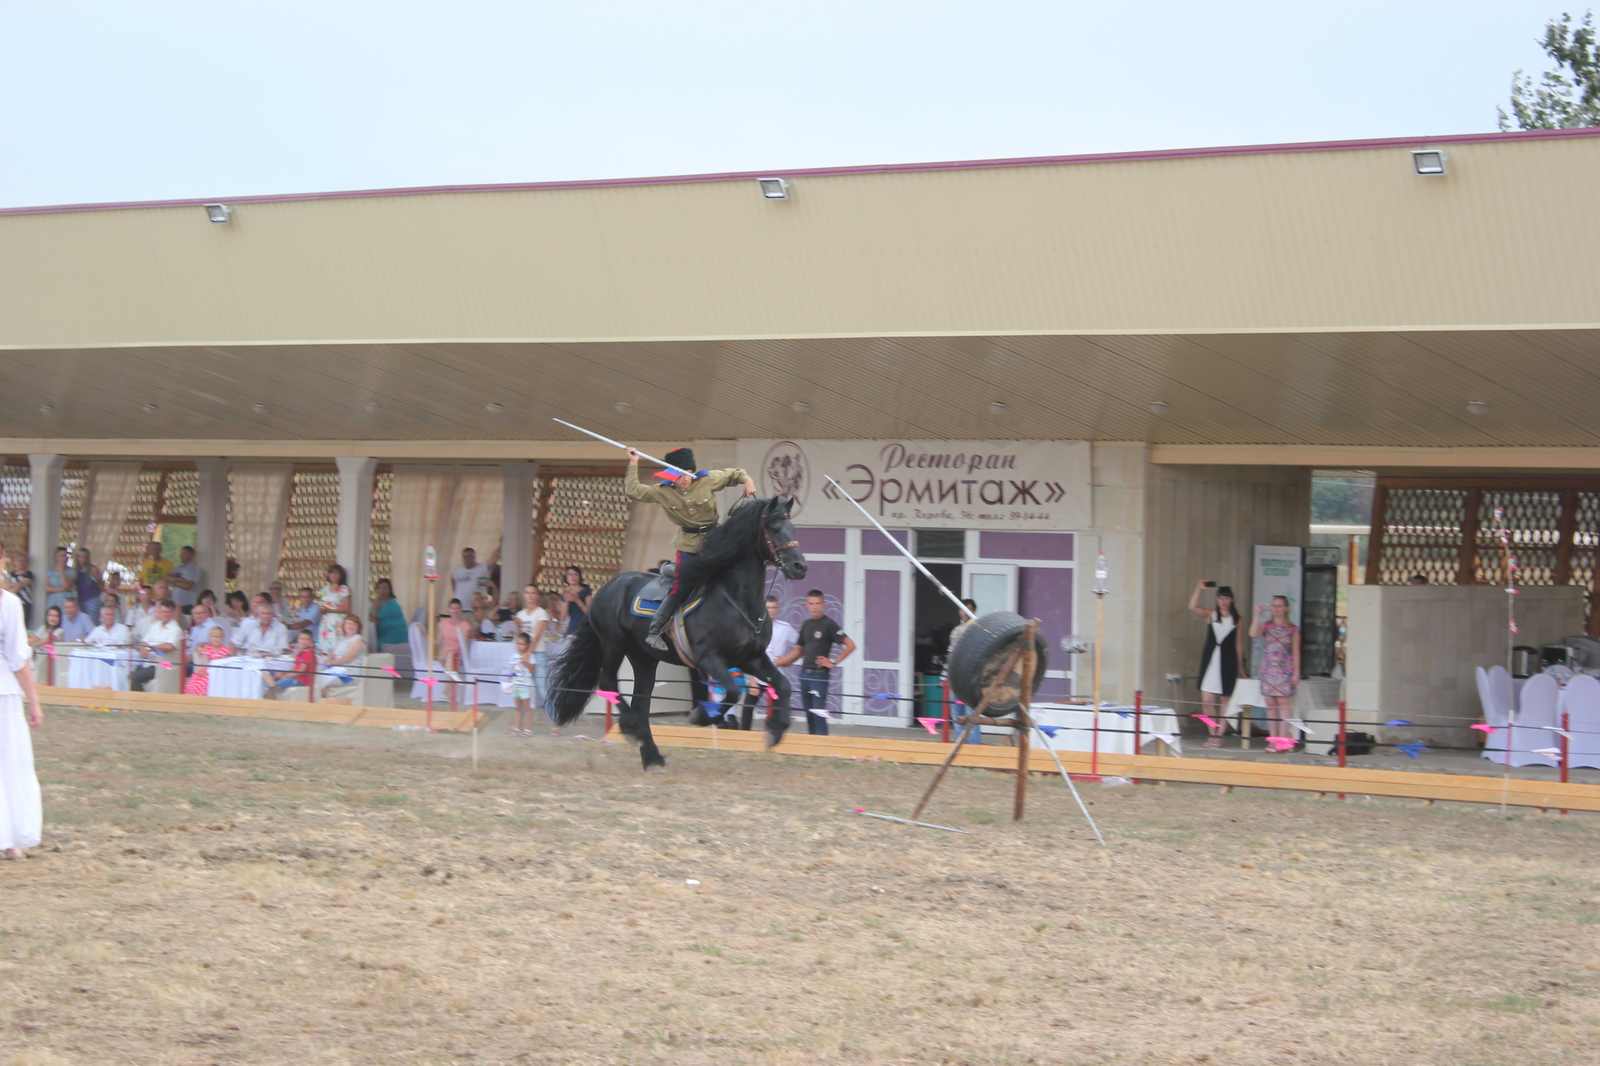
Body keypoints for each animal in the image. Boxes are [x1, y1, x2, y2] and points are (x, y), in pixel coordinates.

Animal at [550, 492, 806, 768]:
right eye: (774, 527)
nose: (800, 566)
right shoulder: (709, 658)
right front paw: (702, 716)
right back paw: (632, 729)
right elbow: (732, 691)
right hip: (613, 645)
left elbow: (782, 685)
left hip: (643, 658)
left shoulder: (752, 658)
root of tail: (606, 588)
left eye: (793, 528)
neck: (738, 602)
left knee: (642, 701)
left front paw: (776, 730)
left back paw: (651, 756)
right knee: (609, 683)